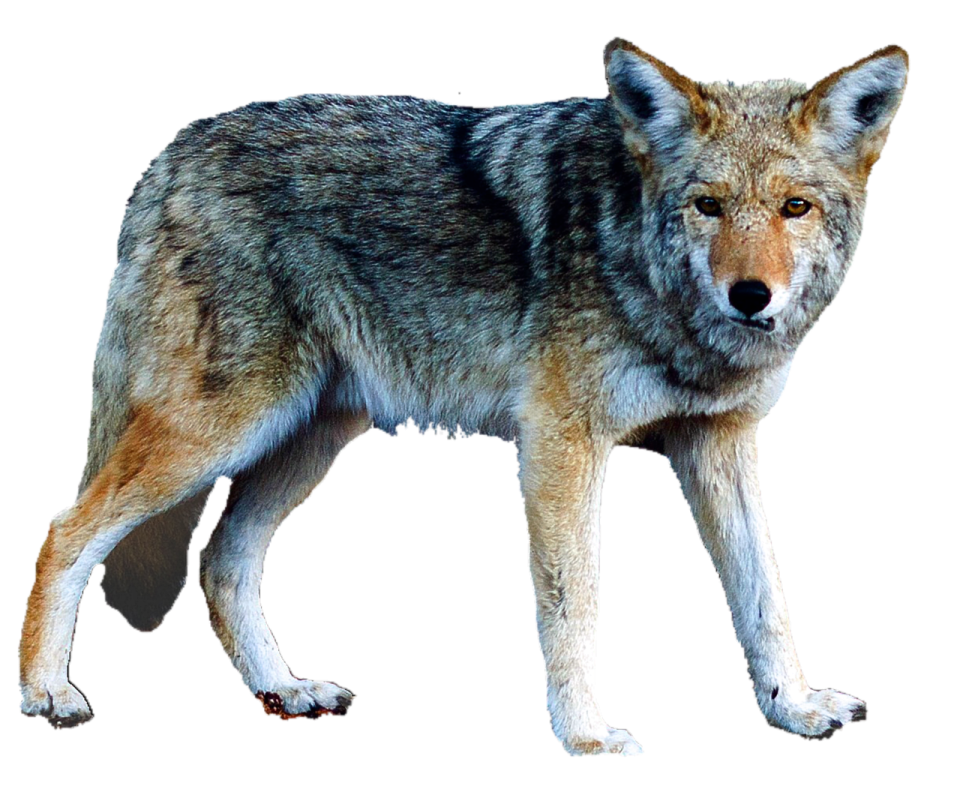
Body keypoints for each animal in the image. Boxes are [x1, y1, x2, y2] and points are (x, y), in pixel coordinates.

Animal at [18, 39, 909, 756]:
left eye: (794, 207)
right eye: (709, 206)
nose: (750, 295)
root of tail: (172, 151)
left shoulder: (720, 445)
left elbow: (765, 595)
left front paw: (795, 708)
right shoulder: (561, 446)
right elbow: (575, 602)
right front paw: (585, 735)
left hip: (307, 440)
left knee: (220, 559)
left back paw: (285, 691)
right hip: (220, 431)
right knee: (66, 530)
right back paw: (47, 694)